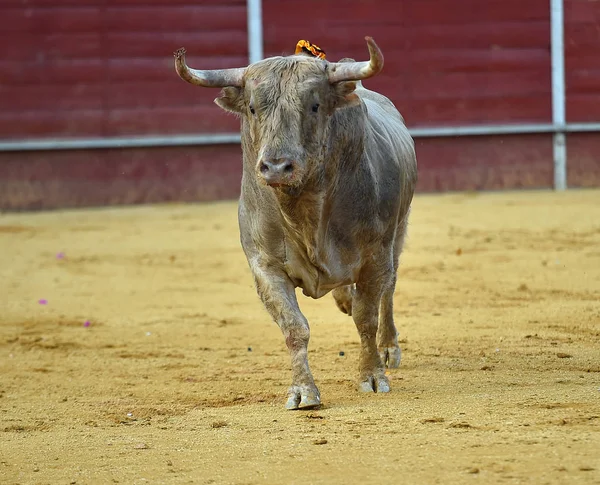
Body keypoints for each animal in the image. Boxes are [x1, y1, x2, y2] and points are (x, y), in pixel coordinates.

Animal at [173, 36, 418, 408]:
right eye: (253, 108)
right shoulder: (265, 265)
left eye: (314, 106)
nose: (276, 166)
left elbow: (367, 318)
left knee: (388, 291)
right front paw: (303, 391)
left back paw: (390, 348)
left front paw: (373, 376)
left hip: (398, 232)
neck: (304, 209)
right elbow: (294, 327)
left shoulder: (376, 256)